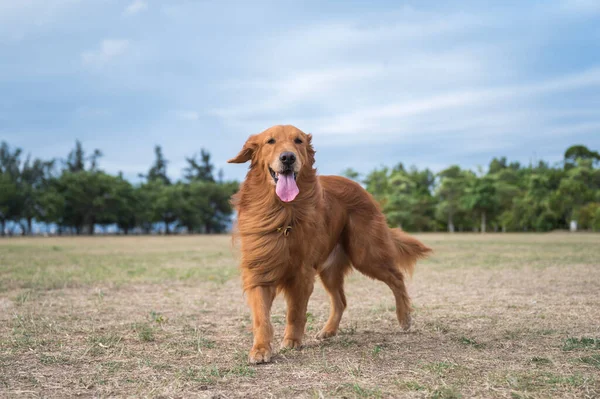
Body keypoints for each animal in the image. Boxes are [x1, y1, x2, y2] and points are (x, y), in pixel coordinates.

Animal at [230, 126, 432, 366]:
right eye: (270, 141)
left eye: (298, 141)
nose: (288, 157)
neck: (282, 212)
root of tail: (362, 190)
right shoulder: (260, 270)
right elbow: (261, 316)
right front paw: (260, 349)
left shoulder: (302, 273)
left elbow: (295, 312)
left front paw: (292, 341)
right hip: (330, 269)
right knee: (341, 301)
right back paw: (329, 330)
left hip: (365, 254)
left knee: (396, 278)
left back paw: (404, 317)